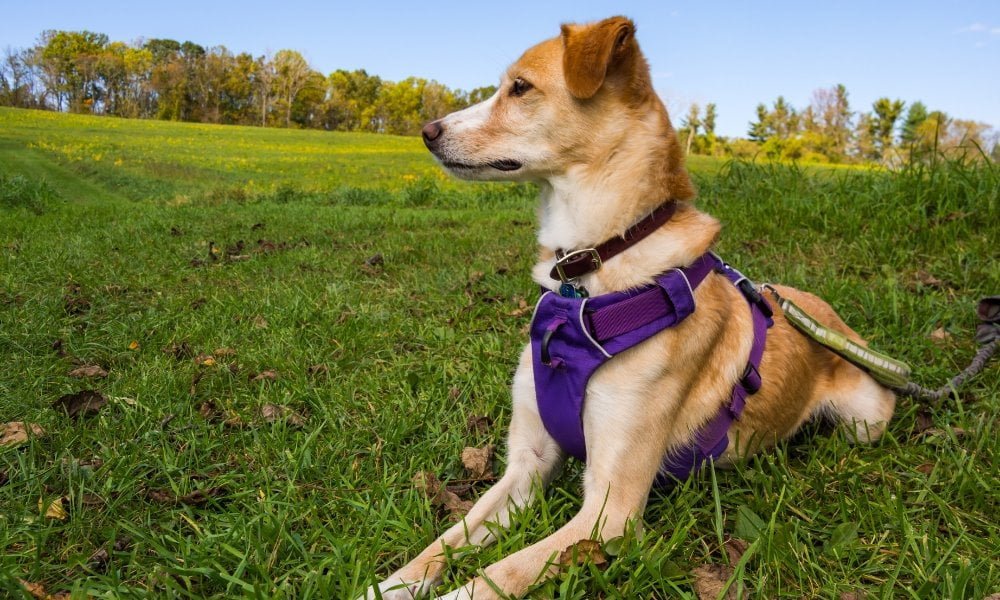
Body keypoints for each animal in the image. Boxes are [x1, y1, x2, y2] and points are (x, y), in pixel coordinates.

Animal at [362, 16, 900, 596]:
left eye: (520, 88)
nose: (428, 131)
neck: (588, 275)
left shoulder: (609, 510)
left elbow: (502, 571)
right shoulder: (526, 467)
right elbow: (446, 541)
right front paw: (389, 584)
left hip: (865, 421)